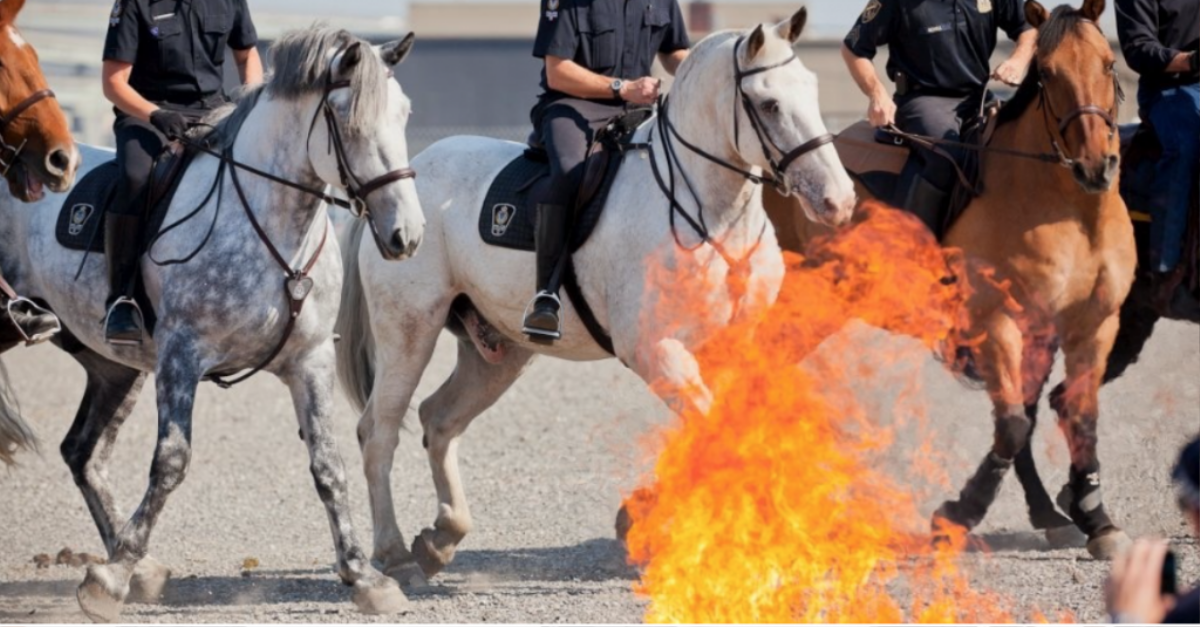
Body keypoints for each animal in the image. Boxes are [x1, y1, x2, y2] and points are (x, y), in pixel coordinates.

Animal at [0, 26, 427, 614]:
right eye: (347, 120)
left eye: (404, 113)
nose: (405, 234)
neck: (273, 228)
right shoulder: (182, 355)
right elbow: (170, 463)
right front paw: (111, 579)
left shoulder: (309, 359)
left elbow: (328, 465)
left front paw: (365, 575)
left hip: (116, 367)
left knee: (82, 452)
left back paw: (141, 567)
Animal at [333, 10, 859, 581]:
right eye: (769, 104)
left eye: (811, 88)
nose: (838, 200)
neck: (708, 211)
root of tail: (397, 191)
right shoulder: (655, 350)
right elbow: (716, 435)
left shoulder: (731, 352)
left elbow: (732, 434)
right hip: (409, 331)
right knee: (378, 430)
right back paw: (393, 553)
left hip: (498, 351)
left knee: (439, 419)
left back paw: (442, 538)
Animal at [768, 0, 1132, 557]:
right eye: (1048, 74)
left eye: (1109, 64)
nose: (1096, 165)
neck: (1071, 211)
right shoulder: (997, 322)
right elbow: (1014, 424)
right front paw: (959, 512)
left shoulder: (1088, 325)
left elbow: (1071, 416)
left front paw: (1091, 517)